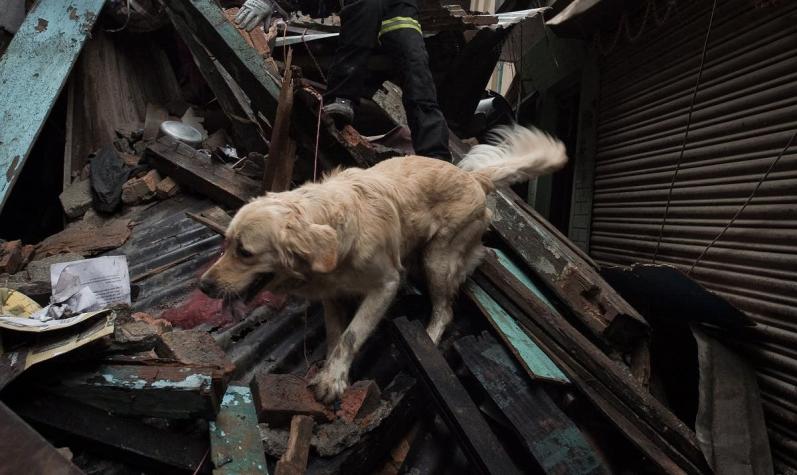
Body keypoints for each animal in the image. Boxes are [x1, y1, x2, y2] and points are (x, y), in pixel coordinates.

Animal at [197, 124, 564, 404]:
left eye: (245, 252)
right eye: (226, 243)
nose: (203, 285)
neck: (334, 231)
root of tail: (475, 179)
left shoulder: (385, 285)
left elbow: (351, 334)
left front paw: (333, 381)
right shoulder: (332, 293)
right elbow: (336, 333)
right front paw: (330, 369)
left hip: (438, 257)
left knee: (445, 309)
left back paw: (429, 338)